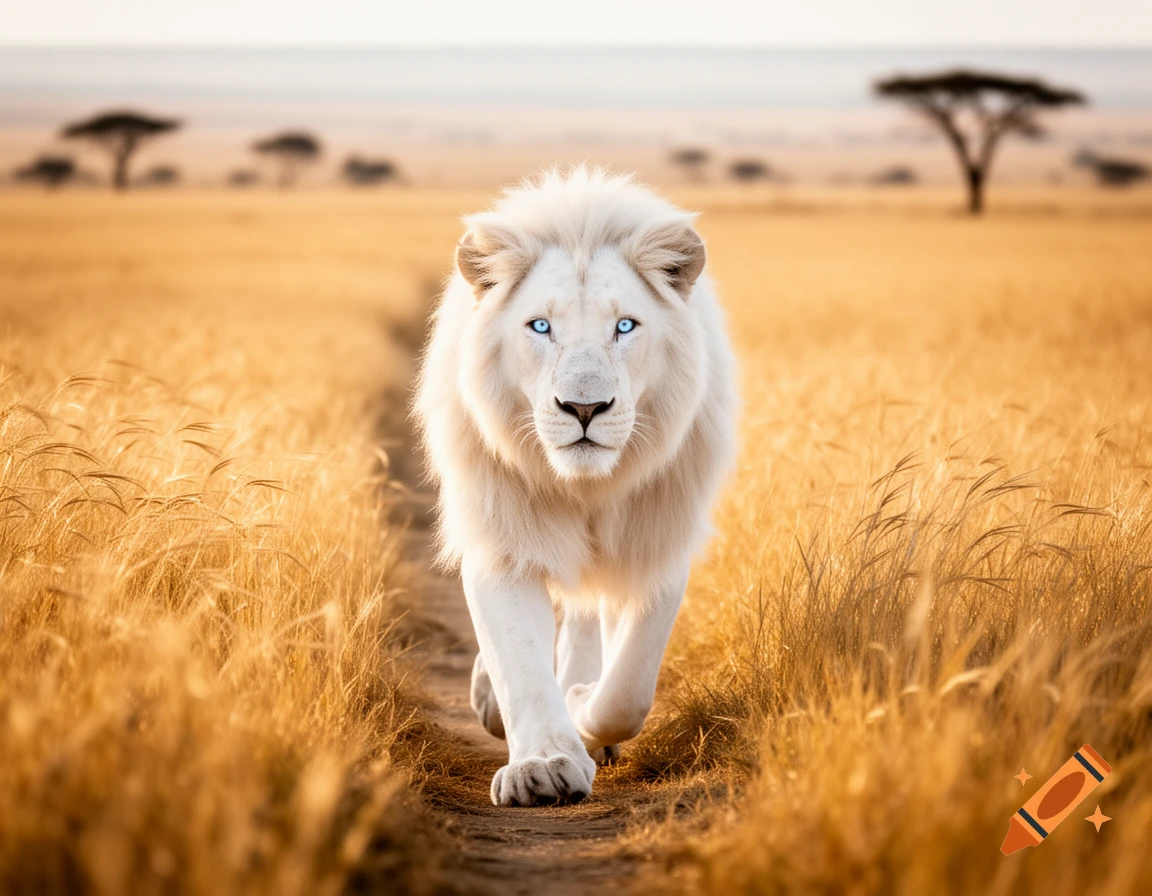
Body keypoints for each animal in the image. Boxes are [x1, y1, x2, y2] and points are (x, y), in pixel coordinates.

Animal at [414, 166, 737, 806]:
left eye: (625, 326)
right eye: (541, 326)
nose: (584, 408)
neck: (586, 488)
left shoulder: (656, 540)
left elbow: (629, 689)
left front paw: (586, 709)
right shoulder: (503, 541)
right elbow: (519, 663)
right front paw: (542, 765)